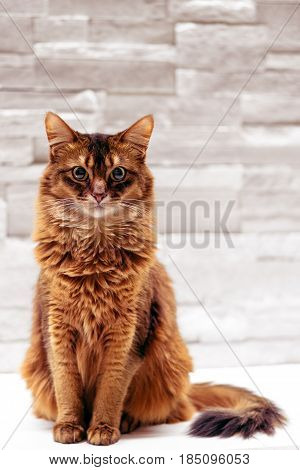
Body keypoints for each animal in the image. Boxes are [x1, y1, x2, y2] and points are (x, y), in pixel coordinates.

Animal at [21, 113, 286, 444]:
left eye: (118, 172)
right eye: (80, 172)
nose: (99, 194)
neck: (94, 260)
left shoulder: (129, 334)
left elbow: (111, 388)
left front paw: (103, 427)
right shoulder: (56, 330)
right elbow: (67, 384)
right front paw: (69, 425)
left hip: (170, 365)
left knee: (173, 409)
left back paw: (128, 420)